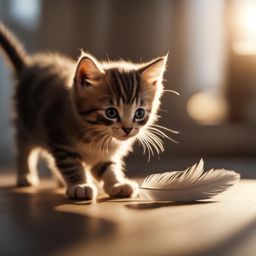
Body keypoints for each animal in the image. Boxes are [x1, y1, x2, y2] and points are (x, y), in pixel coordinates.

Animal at [0, 23, 167, 200]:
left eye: (139, 113)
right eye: (111, 112)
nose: (128, 129)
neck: (96, 136)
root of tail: (28, 69)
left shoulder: (104, 155)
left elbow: (108, 167)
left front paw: (116, 184)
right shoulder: (60, 140)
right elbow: (71, 165)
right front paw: (80, 185)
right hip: (28, 124)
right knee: (23, 146)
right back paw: (25, 175)